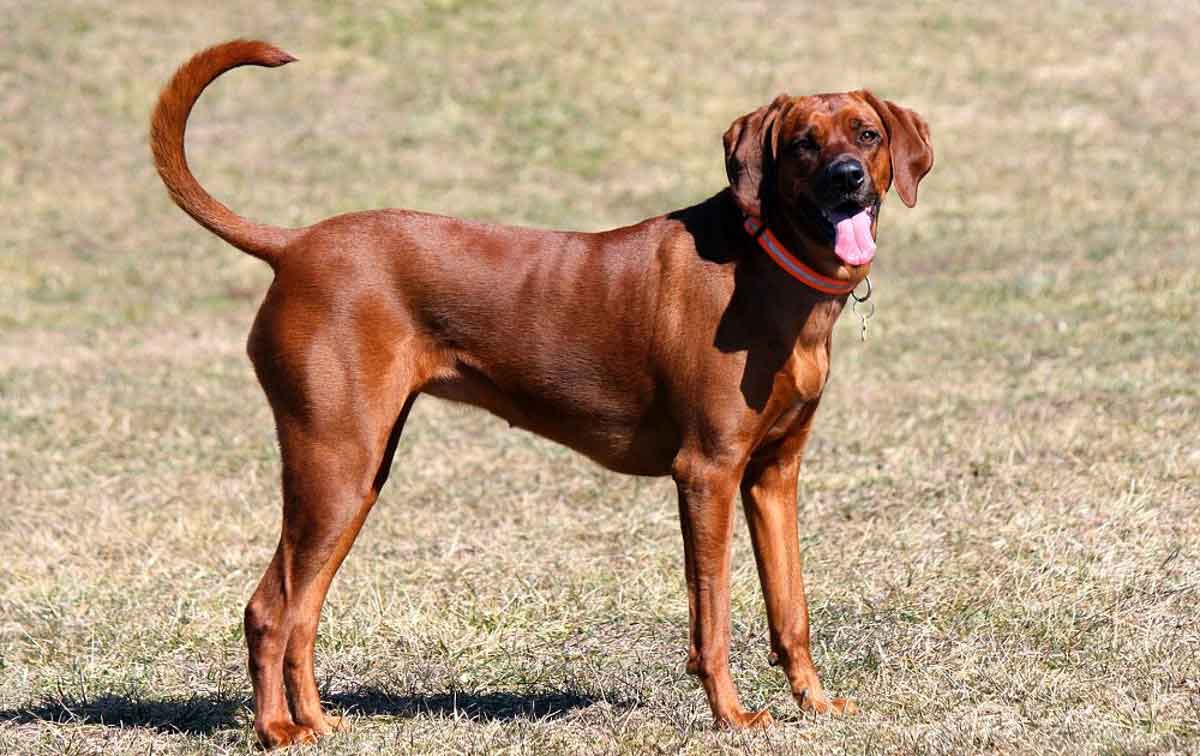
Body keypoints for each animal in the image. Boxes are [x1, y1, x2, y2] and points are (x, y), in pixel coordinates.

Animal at [150, 39, 931, 748]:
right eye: (802, 144)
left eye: (866, 134)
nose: (848, 179)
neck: (764, 265)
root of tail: (294, 245)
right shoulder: (707, 472)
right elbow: (711, 615)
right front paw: (732, 716)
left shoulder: (773, 474)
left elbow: (791, 608)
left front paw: (816, 703)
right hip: (334, 463)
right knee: (269, 608)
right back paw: (278, 730)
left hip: (357, 473)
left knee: (303, 609)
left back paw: (315, 721)